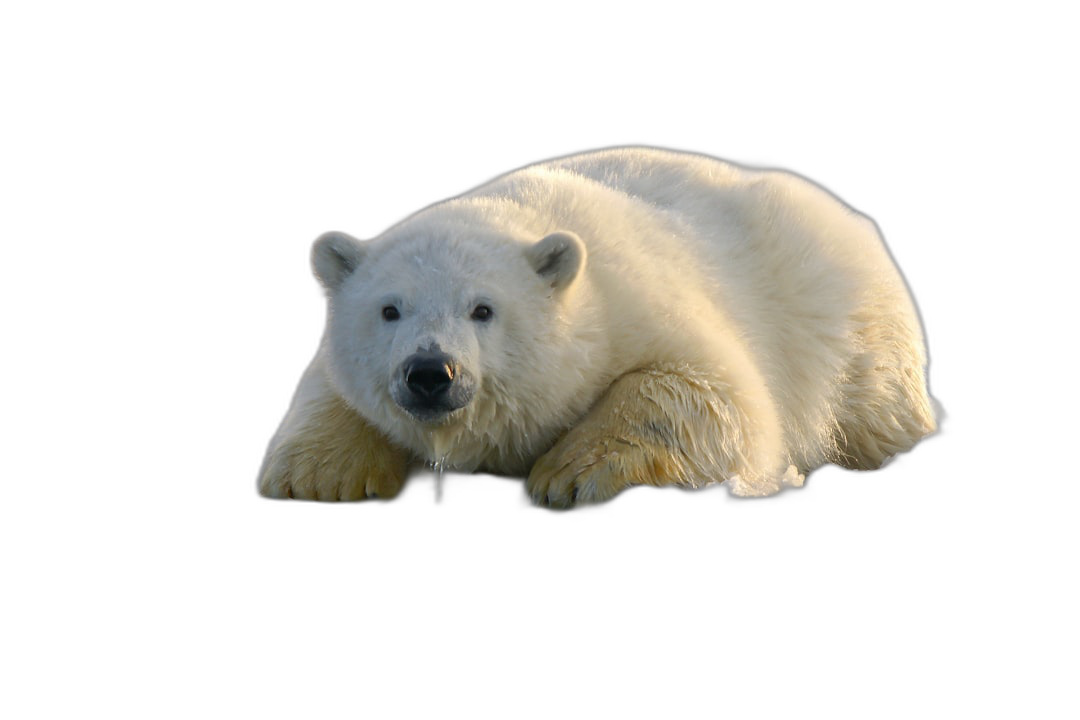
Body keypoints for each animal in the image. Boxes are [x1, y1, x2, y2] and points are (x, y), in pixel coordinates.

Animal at [257, 146, 941, 507]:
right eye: (389, 309)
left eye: (483, 309)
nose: (430, 372)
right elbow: (330, 394)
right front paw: (319, 477)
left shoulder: (639, 302)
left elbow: (717, 395)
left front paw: (572, 474)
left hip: (853, 336)